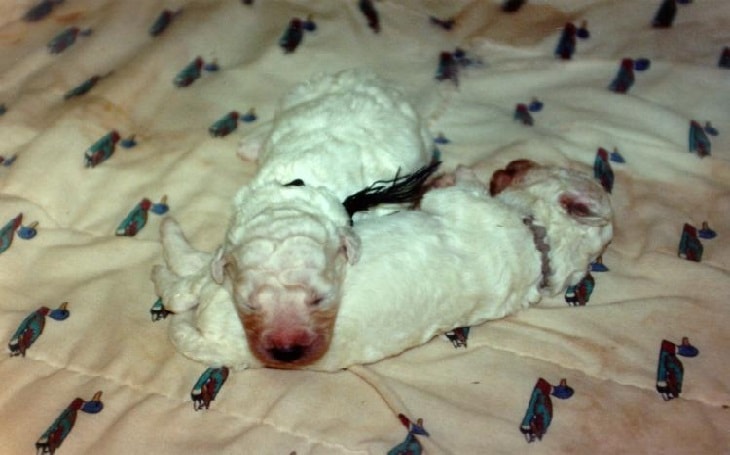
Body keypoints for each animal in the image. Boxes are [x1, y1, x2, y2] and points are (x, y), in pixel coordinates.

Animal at [149, 69, 432, 368]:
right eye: (248, 304)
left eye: (319, 299)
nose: (286, 352)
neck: (292, 195)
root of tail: (361, 75)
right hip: (296, 98)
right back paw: (252, 143)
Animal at [156, 160, 612, 370]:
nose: (511, 163)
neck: (540, 243)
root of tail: (220, 343)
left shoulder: (459, 205)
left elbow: (452, 190)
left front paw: (459, 173)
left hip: (222, 285)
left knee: (183, 289)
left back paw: (166, 257)